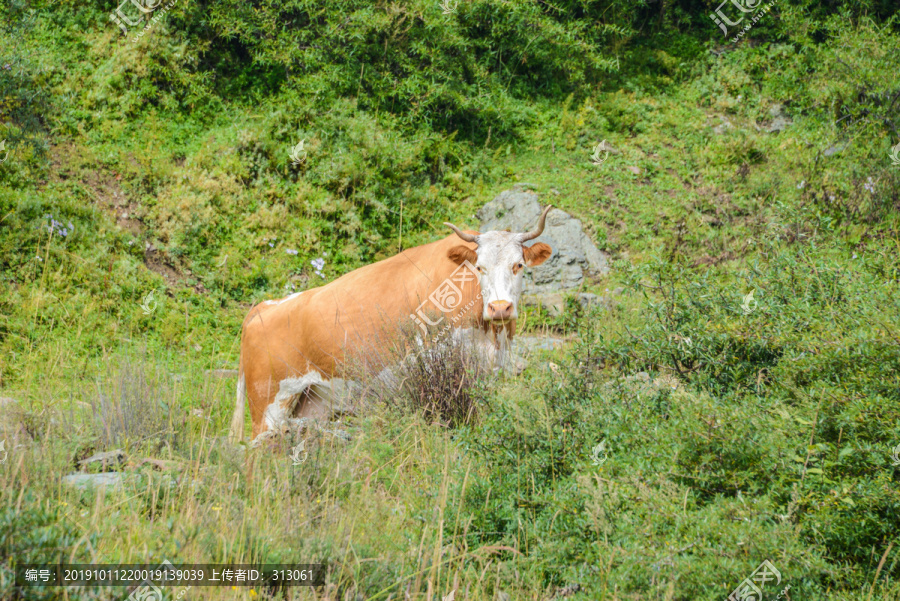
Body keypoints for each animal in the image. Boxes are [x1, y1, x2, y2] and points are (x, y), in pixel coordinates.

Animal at [230, 204, 556, 442]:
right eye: (479, 267)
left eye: (519, 265)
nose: (499, 307)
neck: (490, 334)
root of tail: (264, 306)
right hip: (269, 405)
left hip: (311, 403)